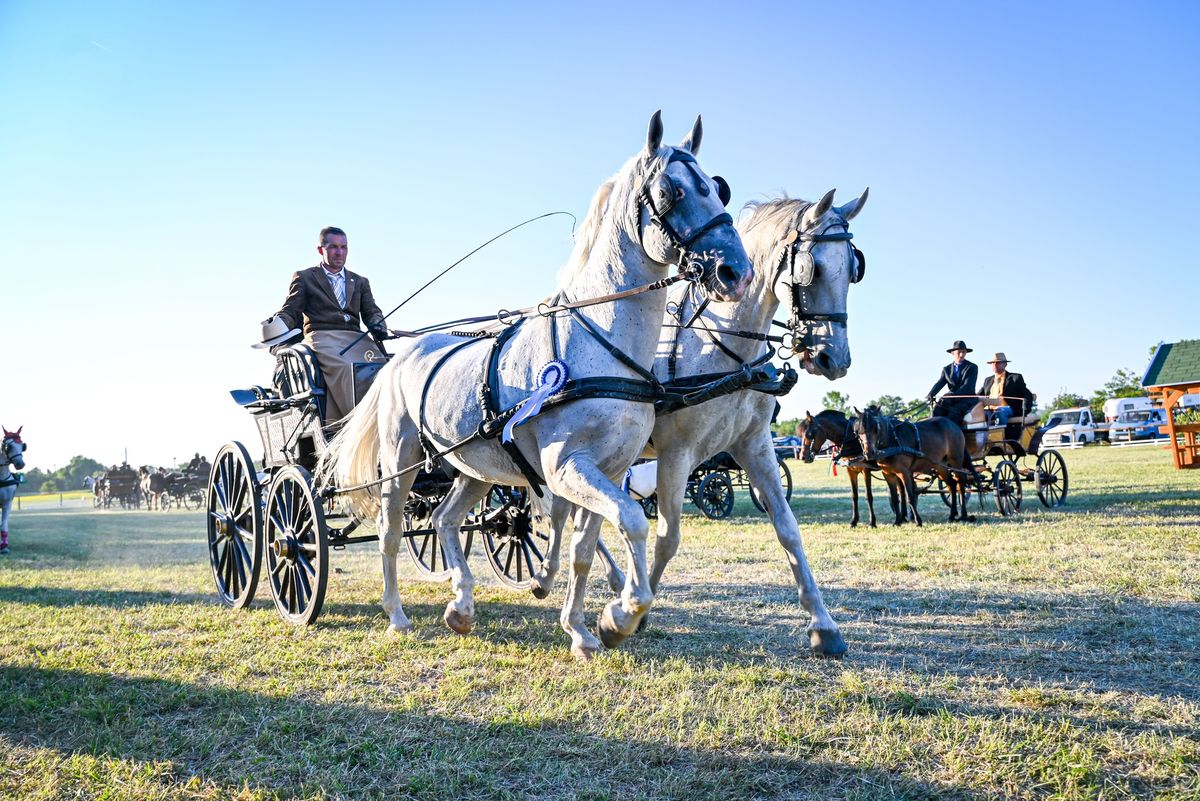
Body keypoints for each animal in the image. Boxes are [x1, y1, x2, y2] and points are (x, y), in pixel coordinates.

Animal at [324, 115, 753, 661]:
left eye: (717, 188)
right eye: (669, 191)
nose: (736, 272)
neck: (597, 340)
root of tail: (400, 355)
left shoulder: (610, 469)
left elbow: (583, 551)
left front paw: (584, 630)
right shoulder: (567, 468)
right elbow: (632, 522)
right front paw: (622, 614)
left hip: (475, 467)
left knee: (444, 518)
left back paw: (461, 606)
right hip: (401, 461)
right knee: (391, 533)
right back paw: (397, 616)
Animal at [532, 190, 864, 652]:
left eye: (853, 269)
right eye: (810, 268)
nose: (835, 359)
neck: (722, 349)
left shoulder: (754, 446)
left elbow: (788, 529)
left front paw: (824, 627)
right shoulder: (677, 454)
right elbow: (667, 538)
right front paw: (632, 615)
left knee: (571, 512)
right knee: (559, 509)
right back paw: (556, 577)